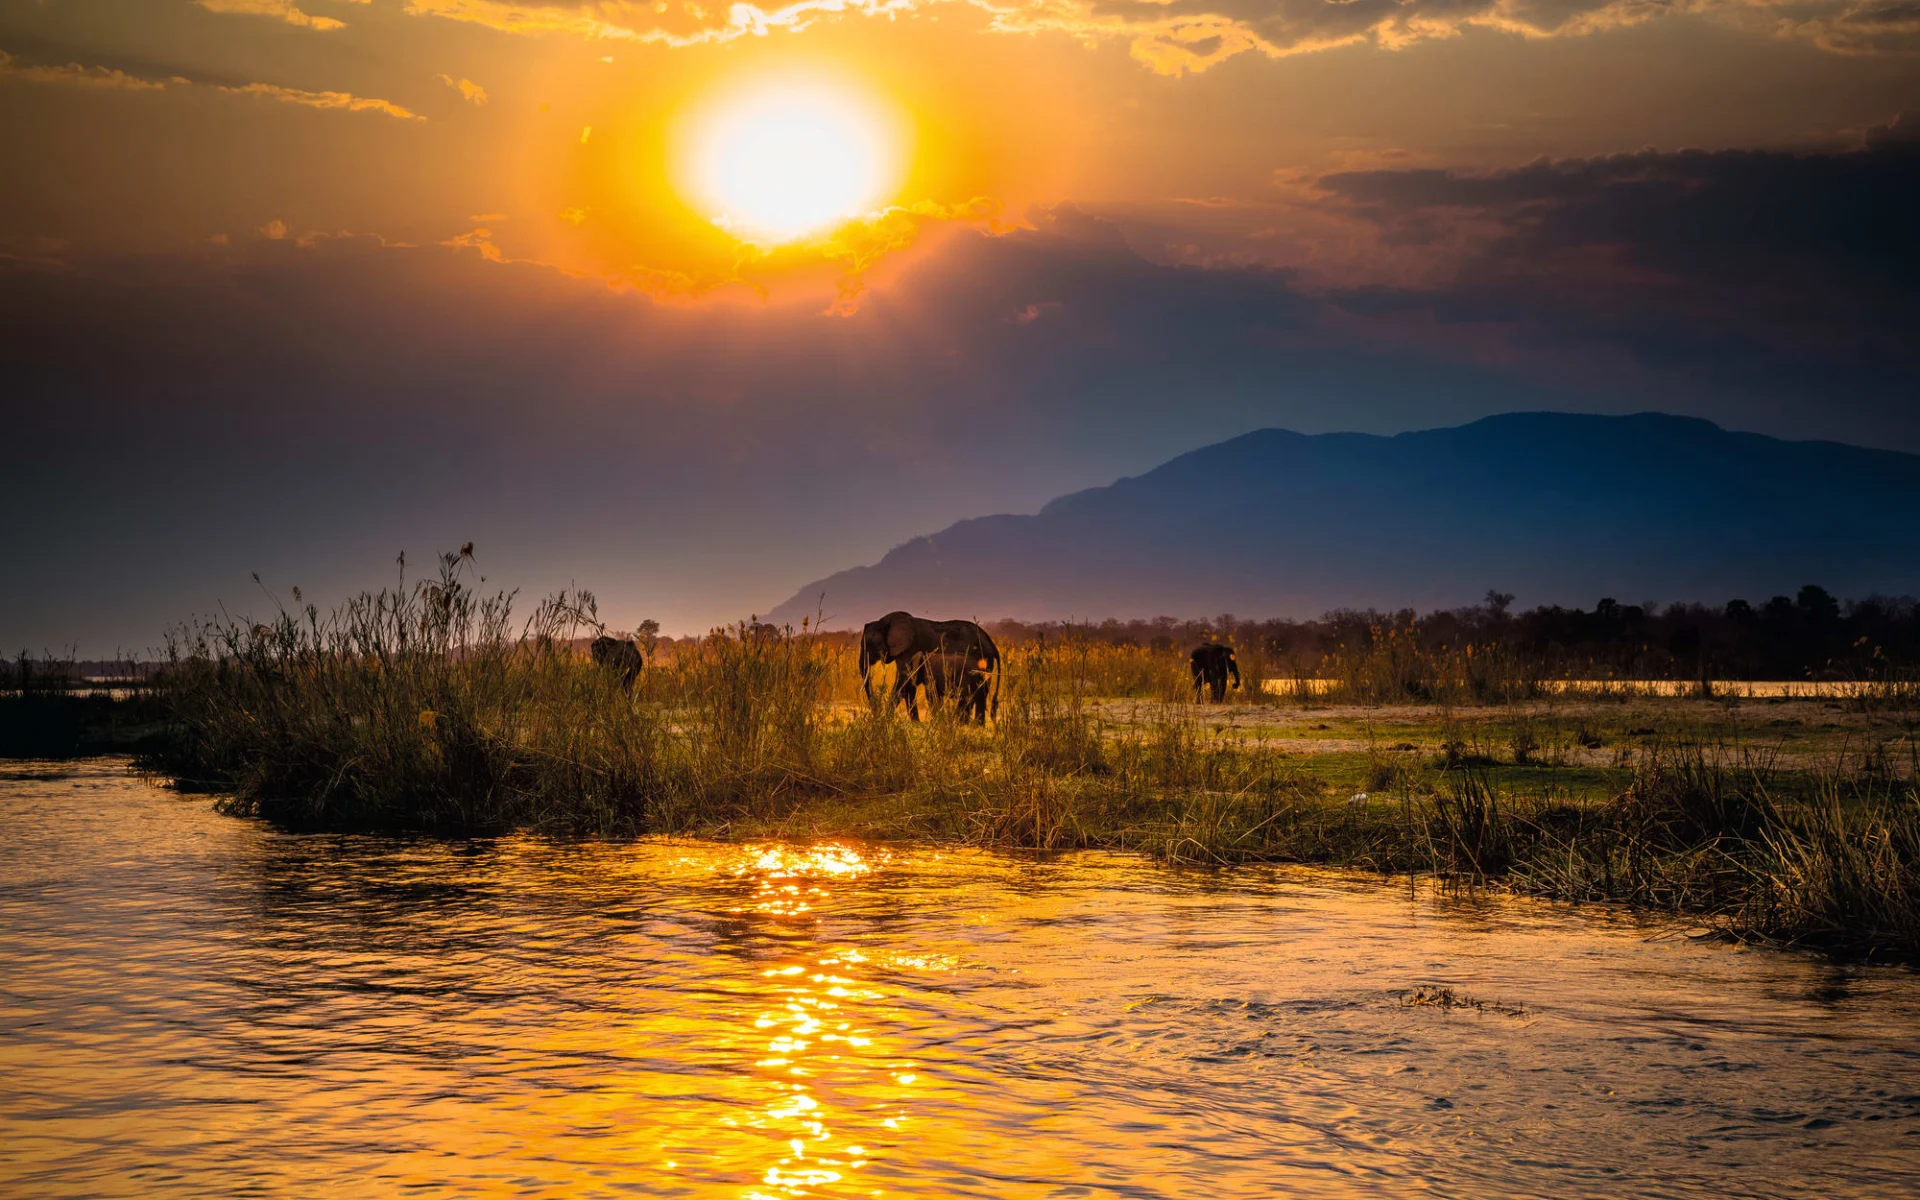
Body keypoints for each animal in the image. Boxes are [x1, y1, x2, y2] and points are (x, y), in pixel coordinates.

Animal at [860, 606, 1006, 721]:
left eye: (869, 644)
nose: (876, 714)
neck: (885, 621)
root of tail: (990, 641)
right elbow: (908, 684)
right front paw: (915, 723)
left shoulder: (909, 648)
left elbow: (904, 680)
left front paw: (885, 720)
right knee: (982, 693)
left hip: (982, 657)